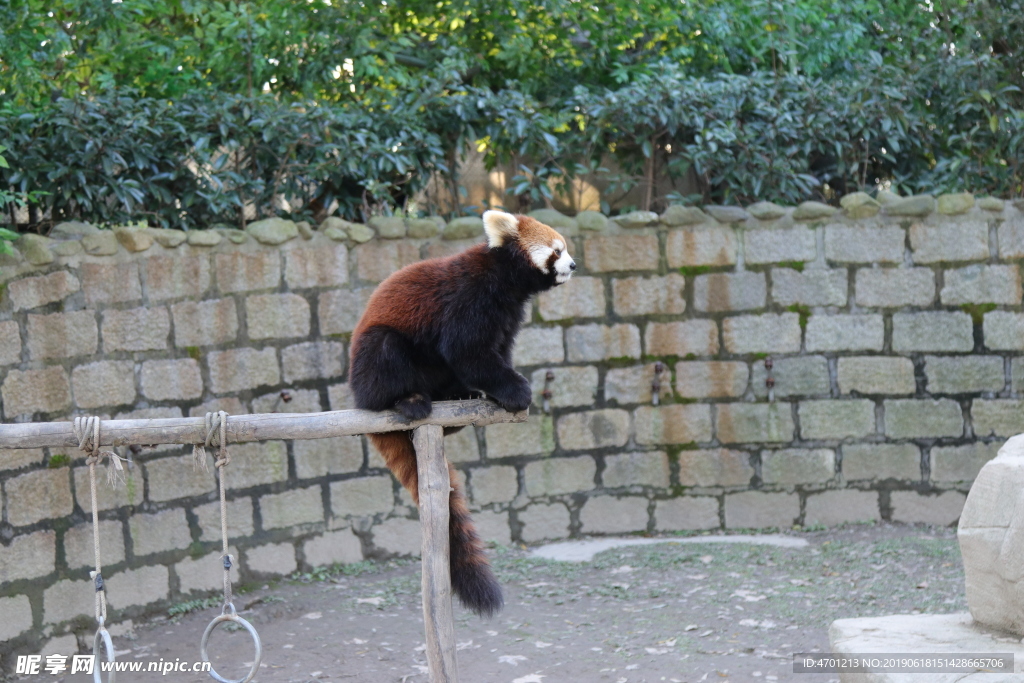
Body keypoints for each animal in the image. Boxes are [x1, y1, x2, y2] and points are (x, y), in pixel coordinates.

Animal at [350, 208, 577, 614]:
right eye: (556, 250)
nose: (573, 264)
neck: (504, 280)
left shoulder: (508, 314)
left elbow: (495, 352)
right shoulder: (471, 299)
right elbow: (467, 352)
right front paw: (516, 391)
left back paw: (456, 398)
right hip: (373, 359)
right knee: (386, 354)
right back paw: (406, 401)